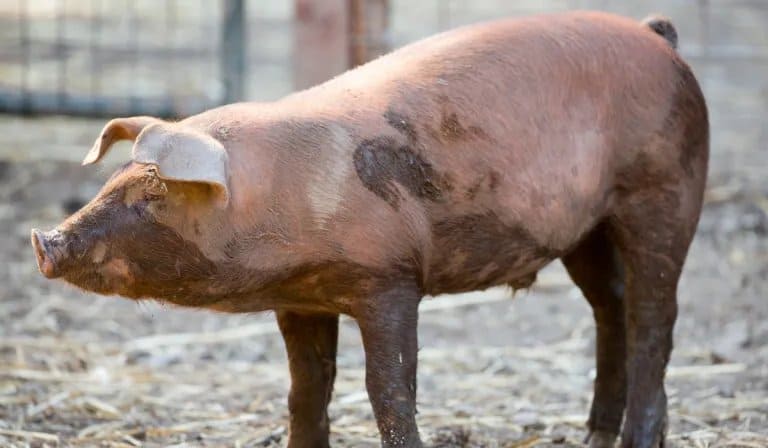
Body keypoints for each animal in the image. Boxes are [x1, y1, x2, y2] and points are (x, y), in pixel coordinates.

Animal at [31, 10, 708, 448]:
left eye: (153, 195)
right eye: (113, 181)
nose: (45, 241)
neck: (289, 193)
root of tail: (658, 37)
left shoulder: (390, 279)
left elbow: (388, 387)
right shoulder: (300, 299)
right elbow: (307, 389)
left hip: (665, 190)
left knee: (655, 317)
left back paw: (635, 437)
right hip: (586, 228)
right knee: (610, 307)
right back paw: (593, 436)